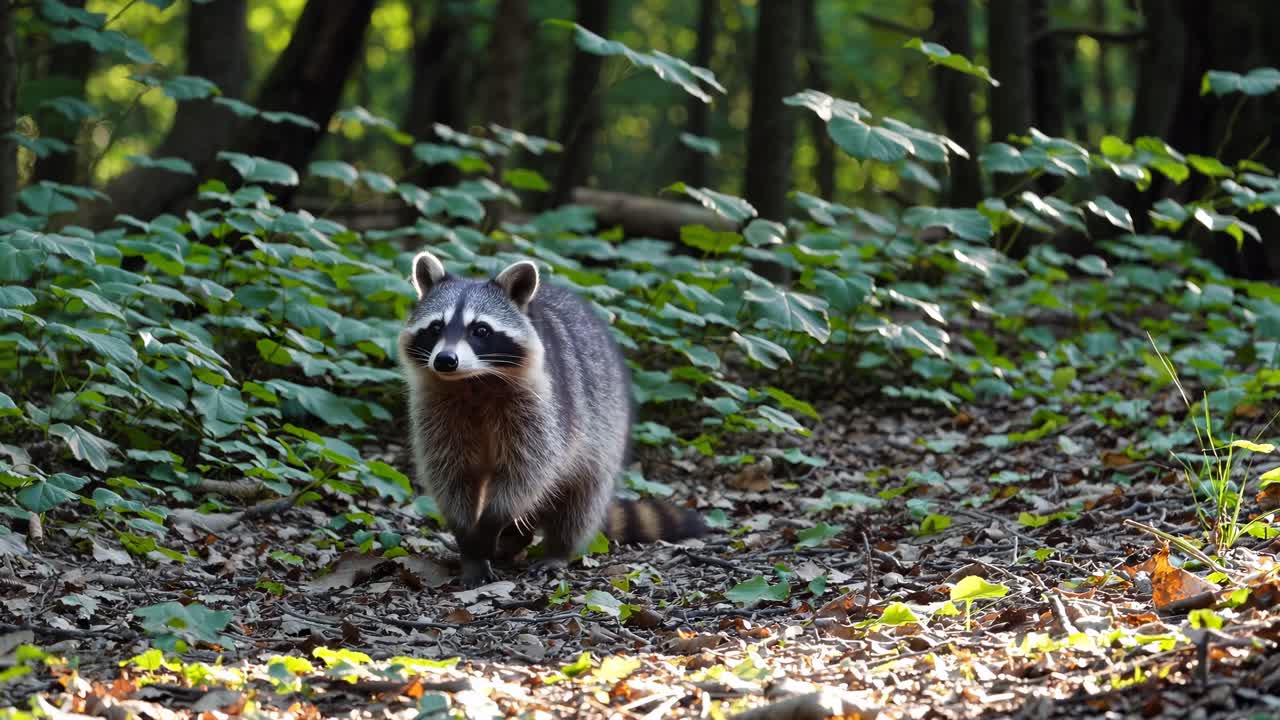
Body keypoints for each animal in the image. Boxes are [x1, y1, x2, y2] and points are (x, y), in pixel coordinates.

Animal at [397, 250, 706, 587]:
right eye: (435, 328)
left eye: (480, 330)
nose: (445, 361)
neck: (473, 381)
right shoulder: (436, 411)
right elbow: (450, 473)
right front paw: (470, 544)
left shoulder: (543, 408)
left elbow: (528, 472)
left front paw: (491, 523)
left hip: (605, 428)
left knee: (580, 500)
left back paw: (558, 549)